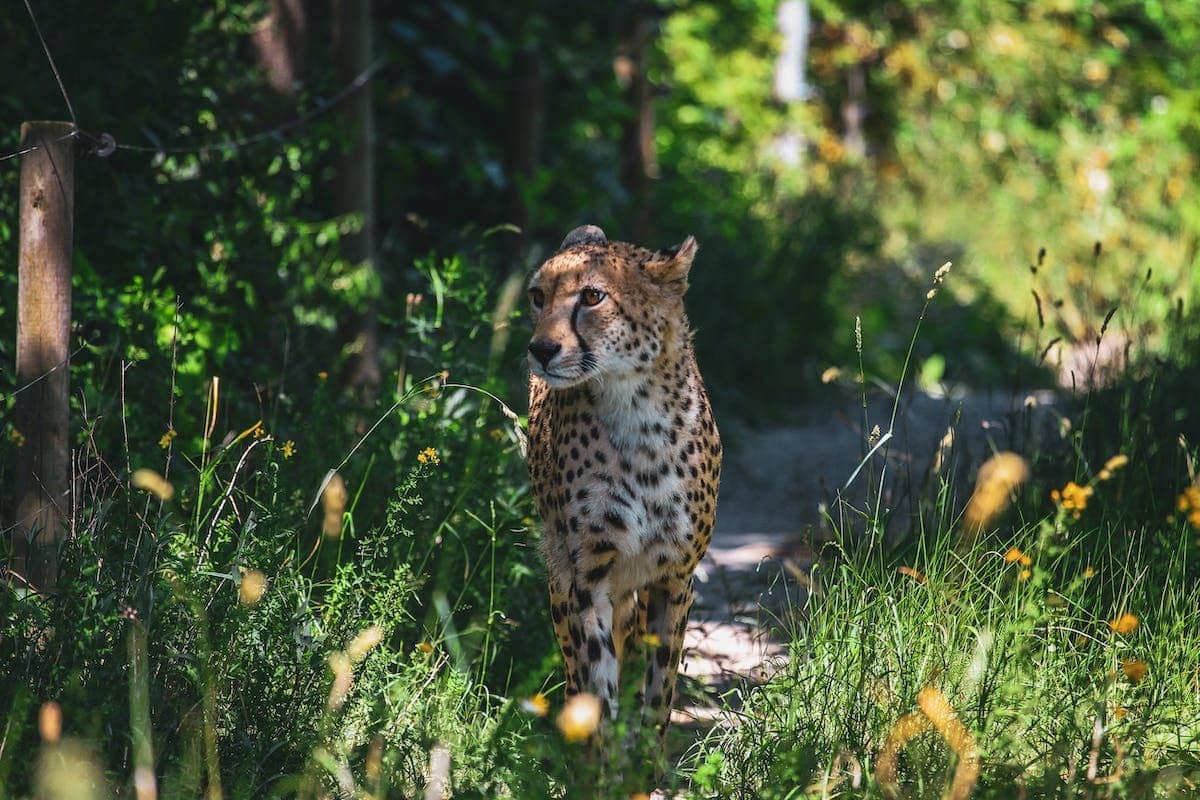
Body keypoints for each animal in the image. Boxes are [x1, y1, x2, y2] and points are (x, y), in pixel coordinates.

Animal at [520, 221, 715, 743]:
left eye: (592, 296)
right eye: (538, 296)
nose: (541, 350)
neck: (636, 408)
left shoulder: (675, 575)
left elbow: (658, 692)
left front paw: (645, 755)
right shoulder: (587, 578)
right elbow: (598, 686)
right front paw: (604, 753)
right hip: (561, 579)